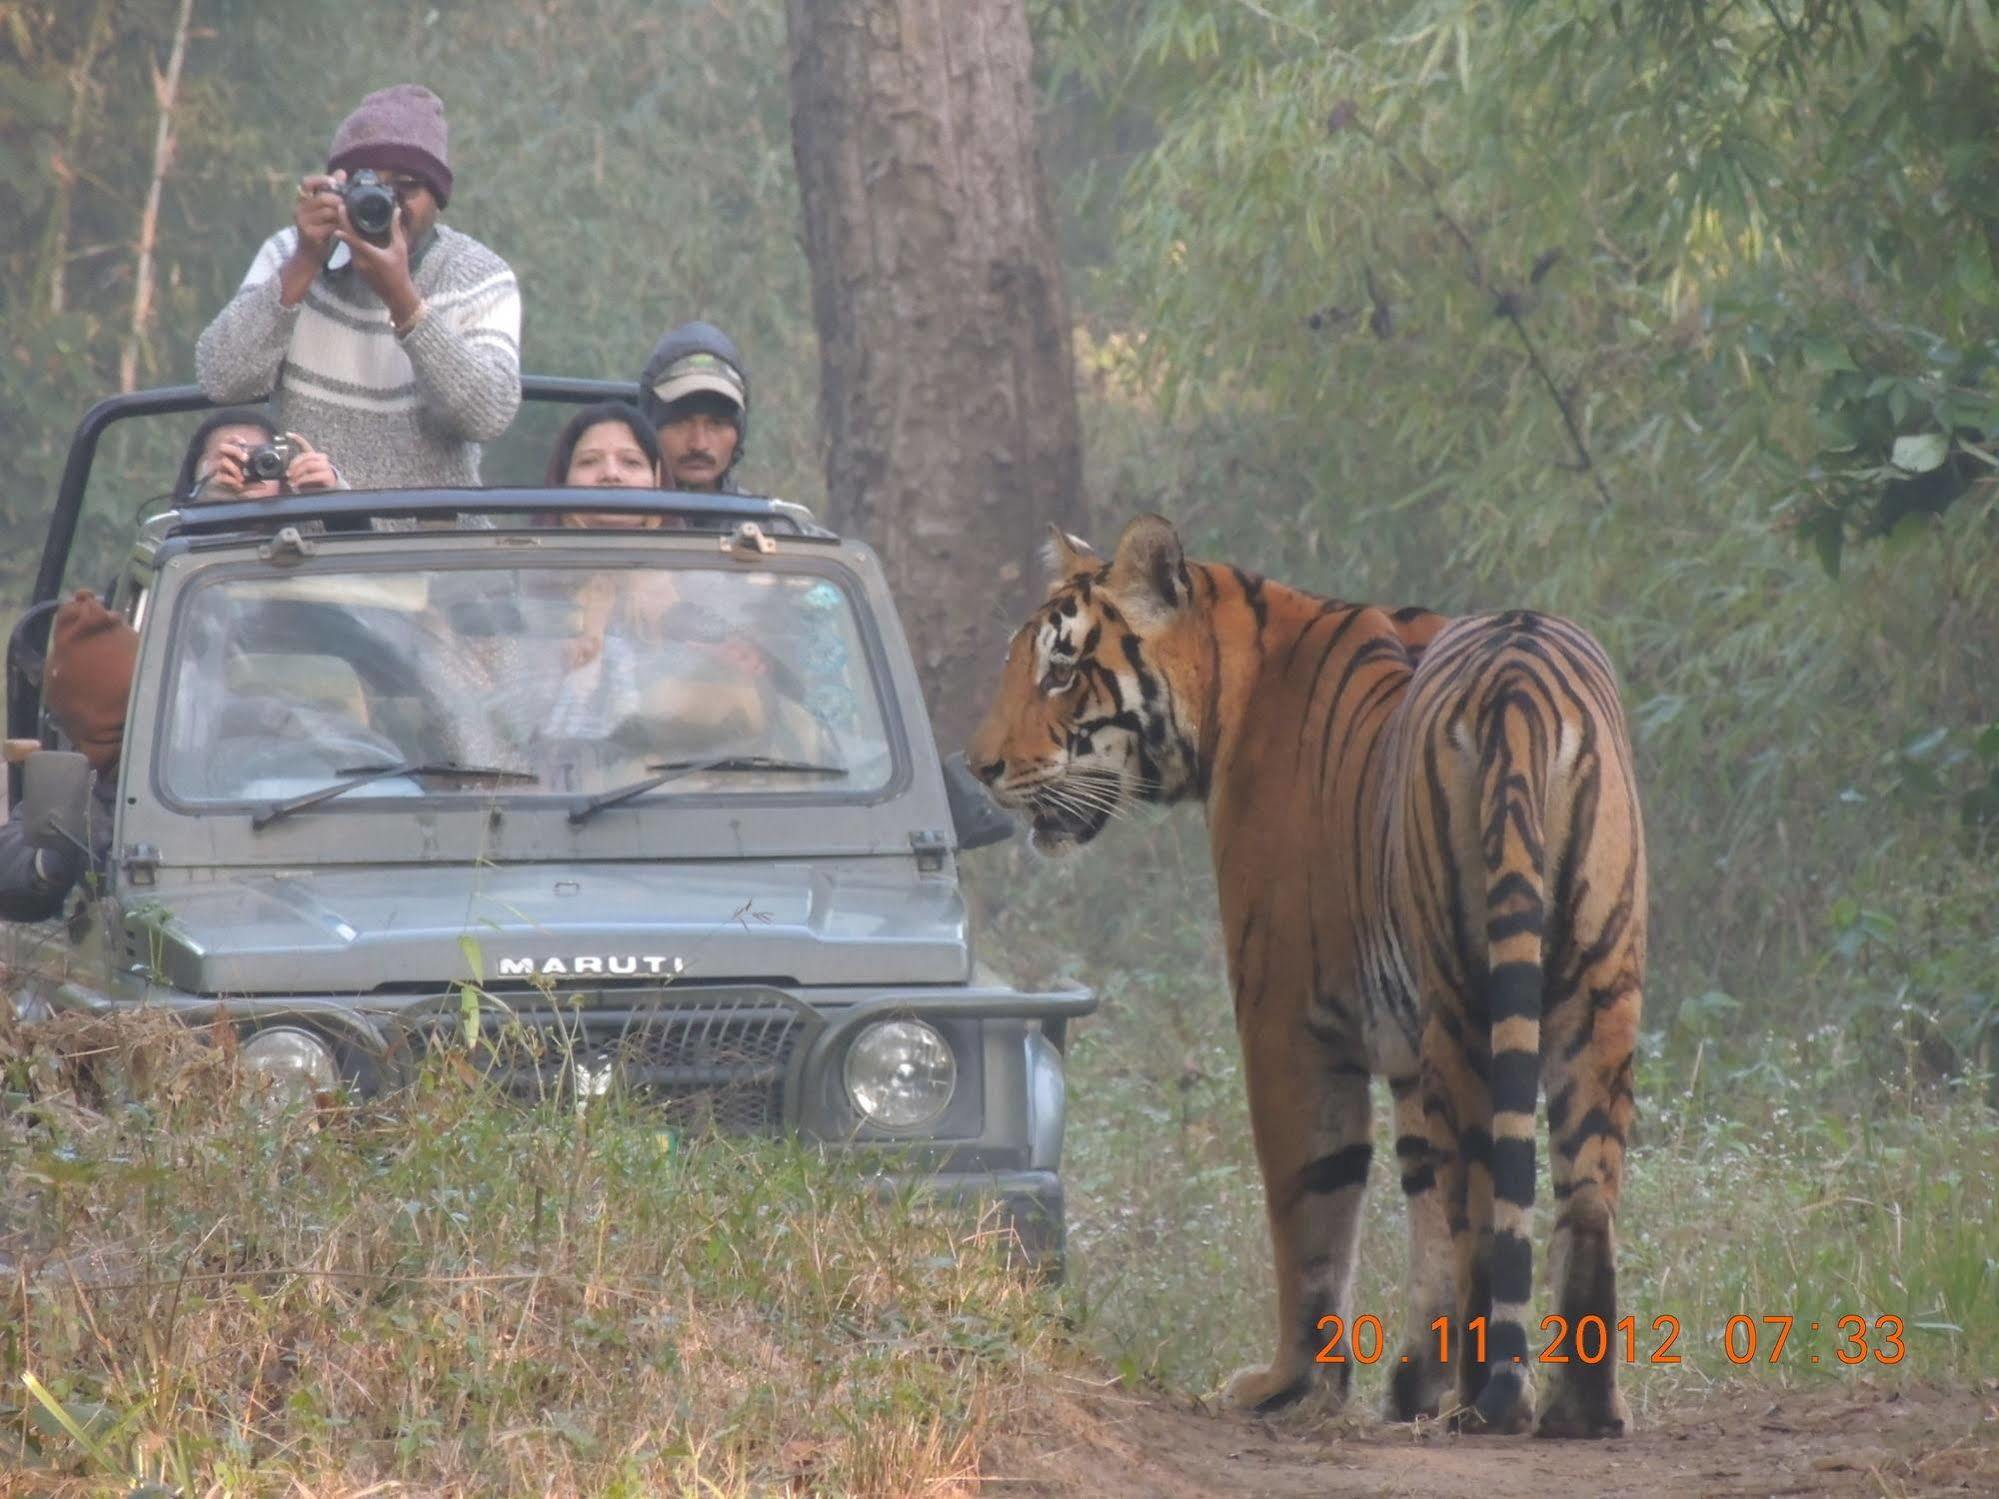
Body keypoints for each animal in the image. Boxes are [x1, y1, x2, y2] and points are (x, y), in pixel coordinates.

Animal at [967, 515, 1639, 1447]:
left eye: (1060, 671)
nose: (978, 767)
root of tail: (1521, 673)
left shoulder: (1285, 1015)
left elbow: (1310, 1209)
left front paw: (1290, 1384)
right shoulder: (1403, 1046)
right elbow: (1421, 1199)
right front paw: (1411, 1382)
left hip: (1466, 991)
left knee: (1485, 1194)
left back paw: (1488, 1401)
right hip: (1600, 984)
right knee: (1585, 1197)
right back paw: (1581, 1408)